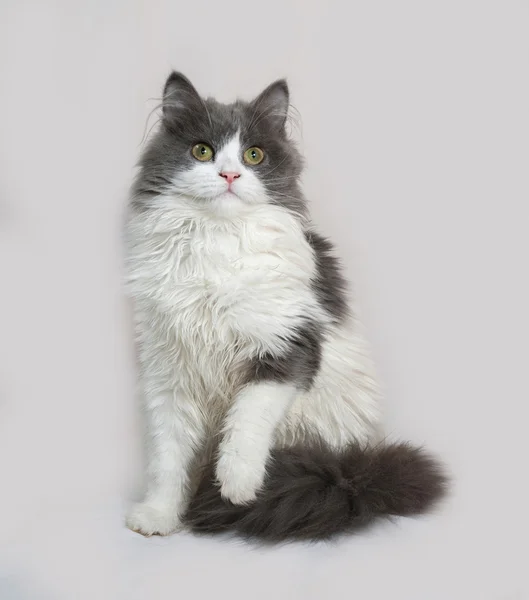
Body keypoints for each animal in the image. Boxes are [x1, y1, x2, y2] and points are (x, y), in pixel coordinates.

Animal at [124, 72, 446, 540]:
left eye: (254, 155)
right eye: (202, 151)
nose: (229, 174)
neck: (215, 242)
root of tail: (350, 473)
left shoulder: (287, 345)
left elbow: (246, 419)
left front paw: (237, 484)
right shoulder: (170, 373)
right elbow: (169, 458)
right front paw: (159, 516)